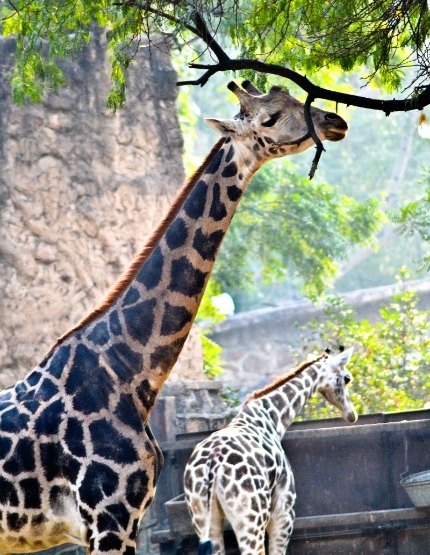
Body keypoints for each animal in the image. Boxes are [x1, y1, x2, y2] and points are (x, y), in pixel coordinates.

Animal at [184, 350, 356, 552]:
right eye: (347, 378)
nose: (352, 415)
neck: (271, 418)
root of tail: (213, 464)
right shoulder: (283, 513)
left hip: (204, 520)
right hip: (251, 519)